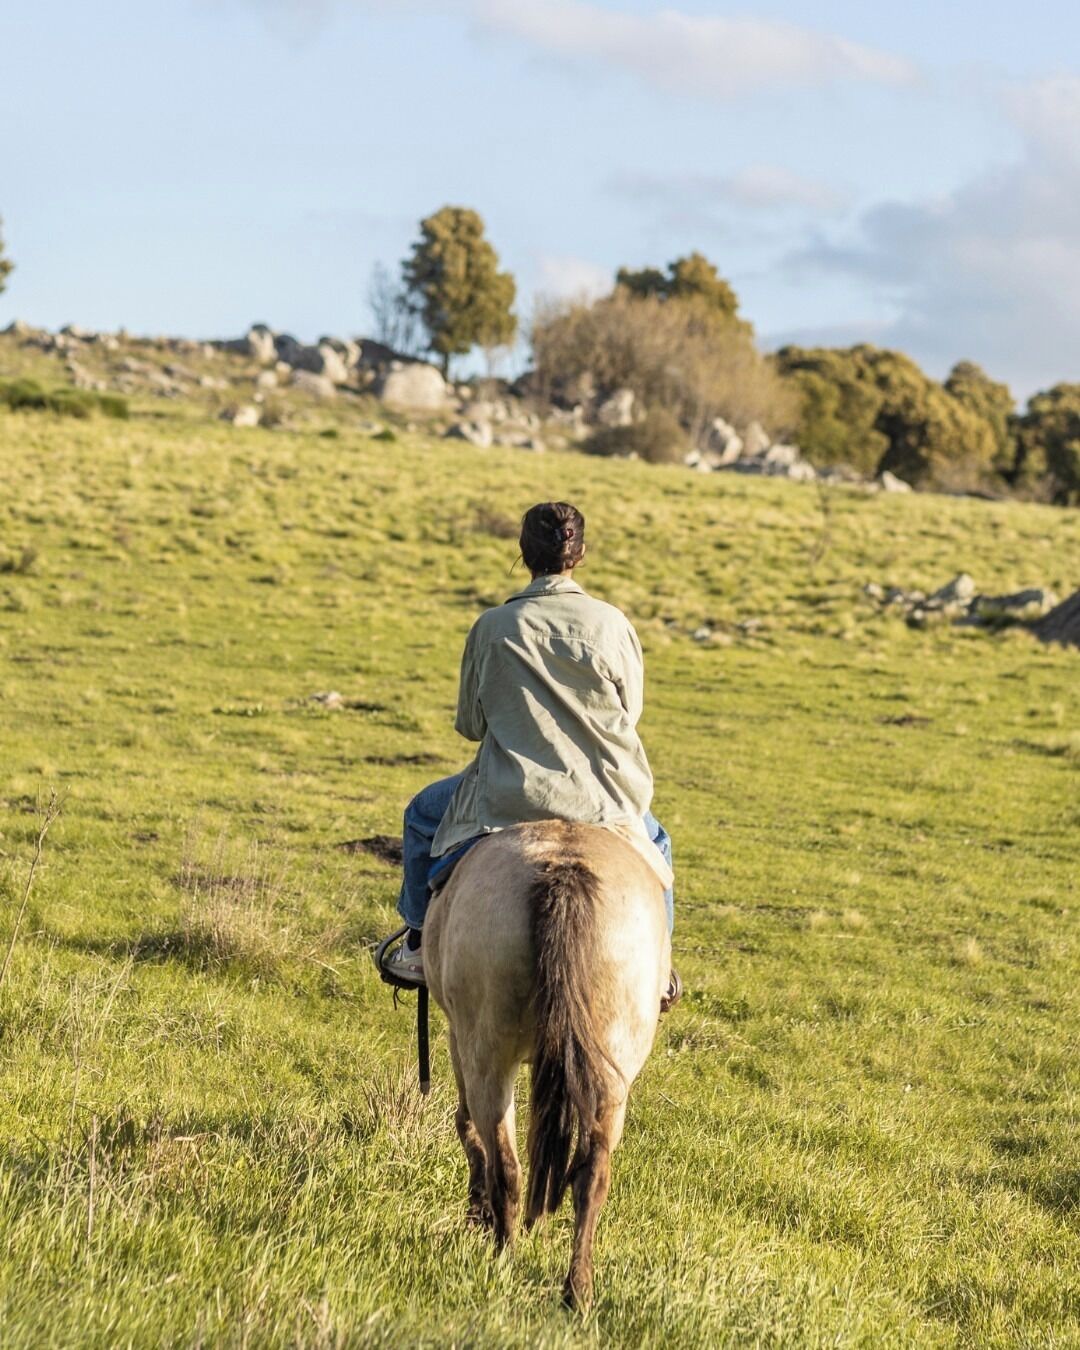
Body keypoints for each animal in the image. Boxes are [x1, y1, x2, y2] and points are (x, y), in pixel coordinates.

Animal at [422, 818, 671, 1310]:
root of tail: (563, 873)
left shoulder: (458, 1036)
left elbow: (466, 1124)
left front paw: (476, 1211)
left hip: (488, 1055)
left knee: (505, 1164)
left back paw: (502, 1259)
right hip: (612, 1074)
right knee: (592, 1173)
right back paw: (577, 1290)